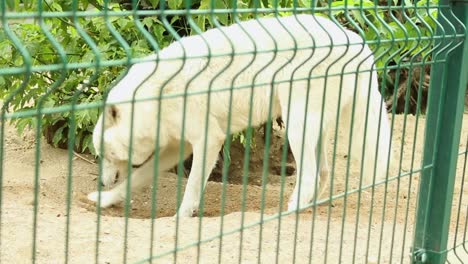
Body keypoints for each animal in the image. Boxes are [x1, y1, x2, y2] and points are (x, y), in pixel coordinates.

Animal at [88, 14, 392, 217]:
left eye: (105, 155)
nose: (100, 180)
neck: (157, 97)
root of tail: (356, 40)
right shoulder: (177, 147)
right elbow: (136, 179)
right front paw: (105, 198)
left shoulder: (208, 140)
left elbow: (192, 187)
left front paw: (180, 218)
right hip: (314, 127)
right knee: (325, 172)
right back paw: (308, 206)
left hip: (297, 126)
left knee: (311, 174)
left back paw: (292, 209)